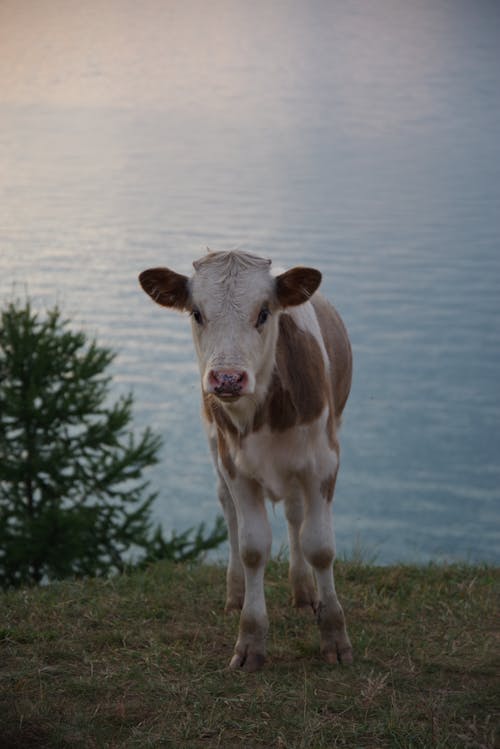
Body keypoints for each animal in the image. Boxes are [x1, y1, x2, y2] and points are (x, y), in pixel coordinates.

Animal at [139, 251, 354, 672]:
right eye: (197, 313)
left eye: (264, 312)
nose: (227, 379)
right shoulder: (236, 468)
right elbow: (253, 547)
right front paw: (250, 640)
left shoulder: (323, 462)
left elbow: (319, 546)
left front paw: (335, 636)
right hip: (215, 449)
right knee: (231, 514)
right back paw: (236, 595)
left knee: (294, 513)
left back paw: (305, 593)